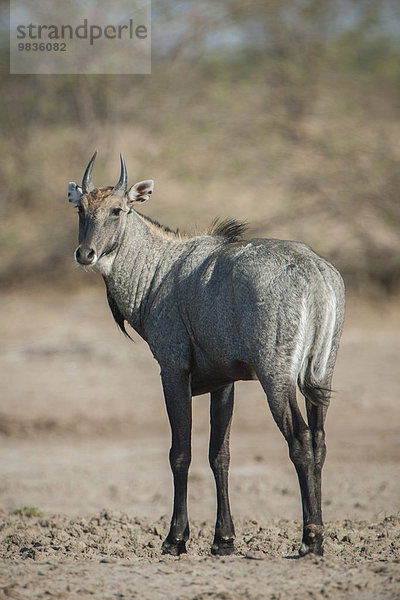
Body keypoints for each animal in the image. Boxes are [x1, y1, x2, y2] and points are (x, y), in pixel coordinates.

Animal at [68, 152, 344, 556]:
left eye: (118, 209)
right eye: (81, 209)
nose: (85, 253)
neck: (158, 271)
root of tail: (316, 274)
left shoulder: (173, 370)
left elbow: (180, 452)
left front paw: (175, 539)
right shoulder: (224, 382)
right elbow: (220, 455)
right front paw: (223, 540)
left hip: (276, 377)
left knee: (301, 441)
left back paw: (311, 538)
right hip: (320, 374)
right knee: (320, 441)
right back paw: (316, 535)